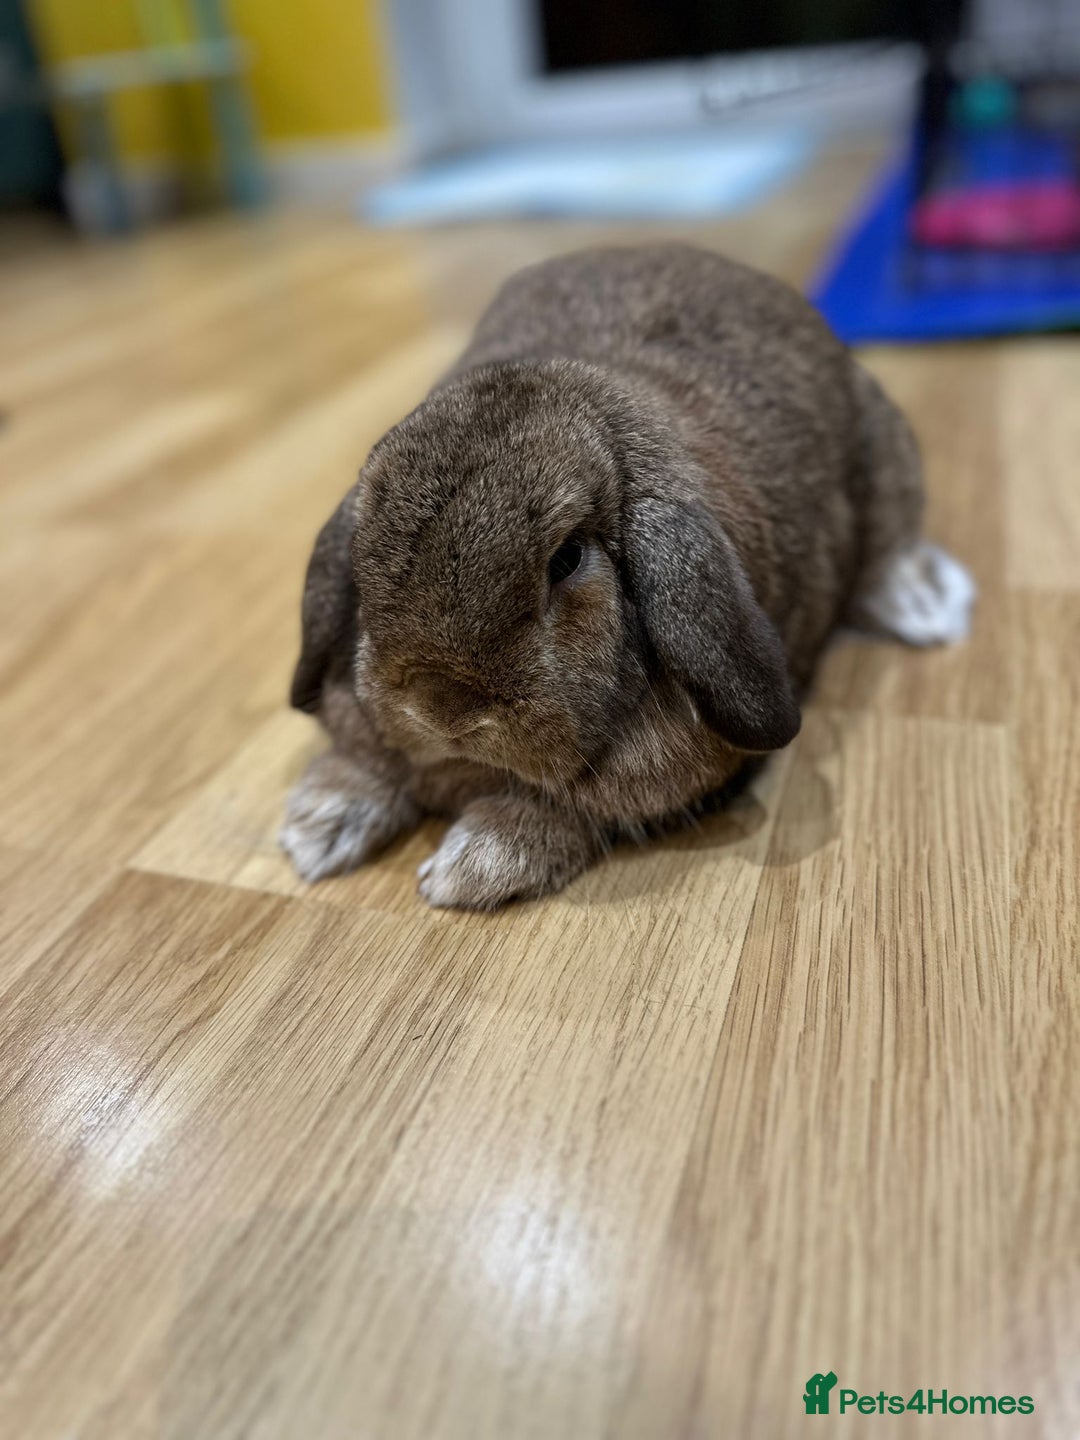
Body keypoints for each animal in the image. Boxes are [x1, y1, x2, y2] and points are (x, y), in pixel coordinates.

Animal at [281, 243, 974, 909]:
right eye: (364, 554)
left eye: (567, 560)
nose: (443, 711)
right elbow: (366, 762)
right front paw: (316, 830)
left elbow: (565, 813)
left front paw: (471, 868)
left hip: (887, 459)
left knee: (888, 549)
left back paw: (928, 609)